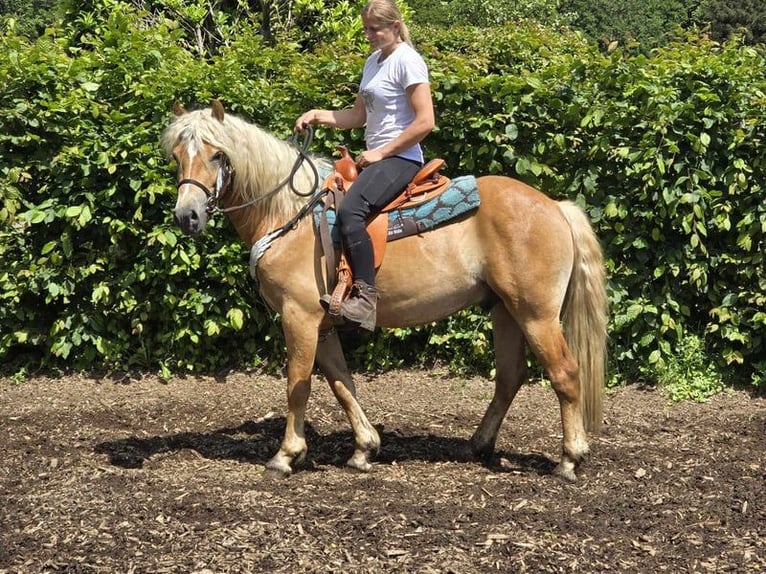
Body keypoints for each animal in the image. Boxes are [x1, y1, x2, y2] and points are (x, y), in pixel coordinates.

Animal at [165, 101, 608, 484]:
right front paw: (364, 448)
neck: (288, 213)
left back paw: (570, 459)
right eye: (177, 156)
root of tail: (555, 206)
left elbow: (298, 384)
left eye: (217, 155)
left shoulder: (299, 316)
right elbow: (341, 381)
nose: (188, 216)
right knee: (510, 377)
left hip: (536, 314)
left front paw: (286, 454)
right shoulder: (323, 323)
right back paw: (479, 445)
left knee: (565, 374)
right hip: (506, 311)